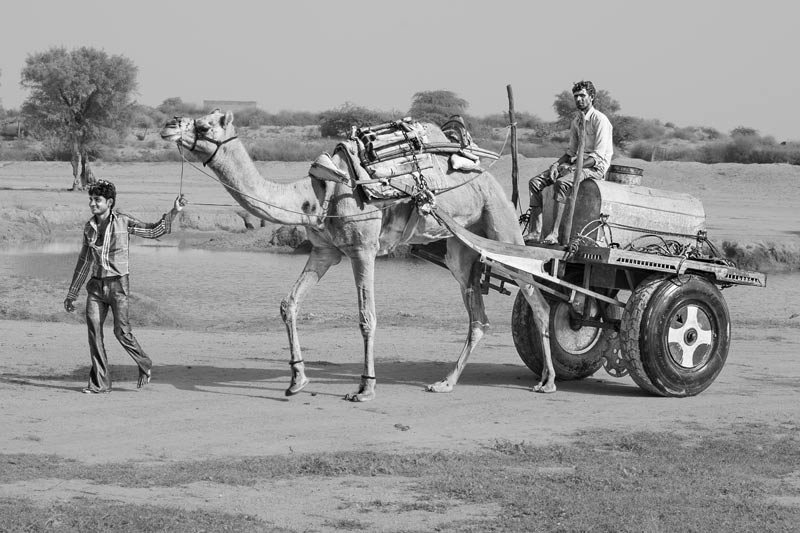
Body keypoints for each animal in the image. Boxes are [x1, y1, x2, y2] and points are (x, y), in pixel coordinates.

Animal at [160, 109, 556, 401]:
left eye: (204, 124)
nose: (168, 125)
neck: (316, 195)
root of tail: (485, 171)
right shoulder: (325, 251)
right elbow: (289, 304)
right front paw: (296, 380)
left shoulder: (362, 249)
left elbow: (367, 317)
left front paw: (365, 387)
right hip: (460, 248)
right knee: (479, 317)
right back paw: (445, 382)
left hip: (500, 225)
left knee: (537, 296)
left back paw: (547, 381)